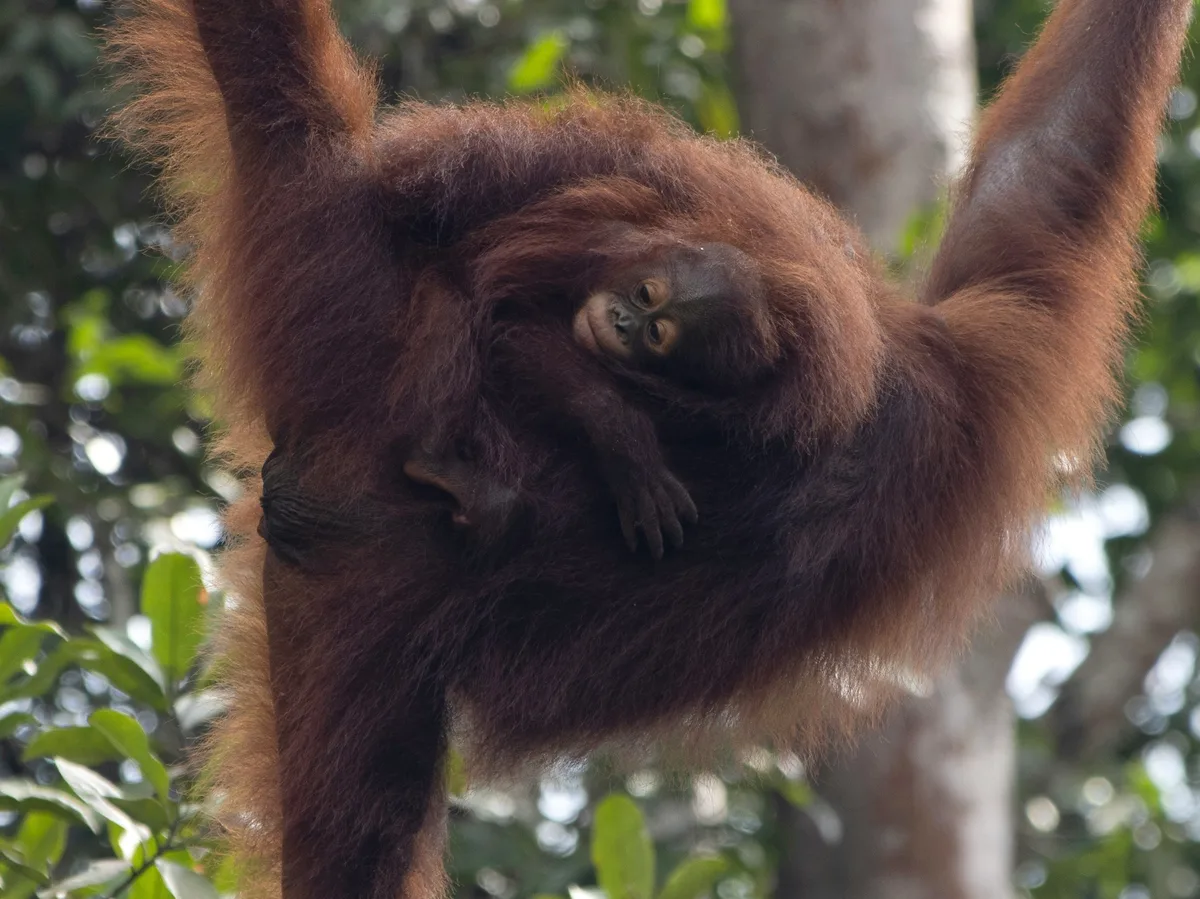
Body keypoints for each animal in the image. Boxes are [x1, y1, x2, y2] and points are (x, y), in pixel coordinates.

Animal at [104, 1, 1193, 898]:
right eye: (644, 299)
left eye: (661, 320)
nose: (628, 322)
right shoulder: (949, 370)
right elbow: (1042, 170)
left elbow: (1041, 172)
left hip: (346, 426)